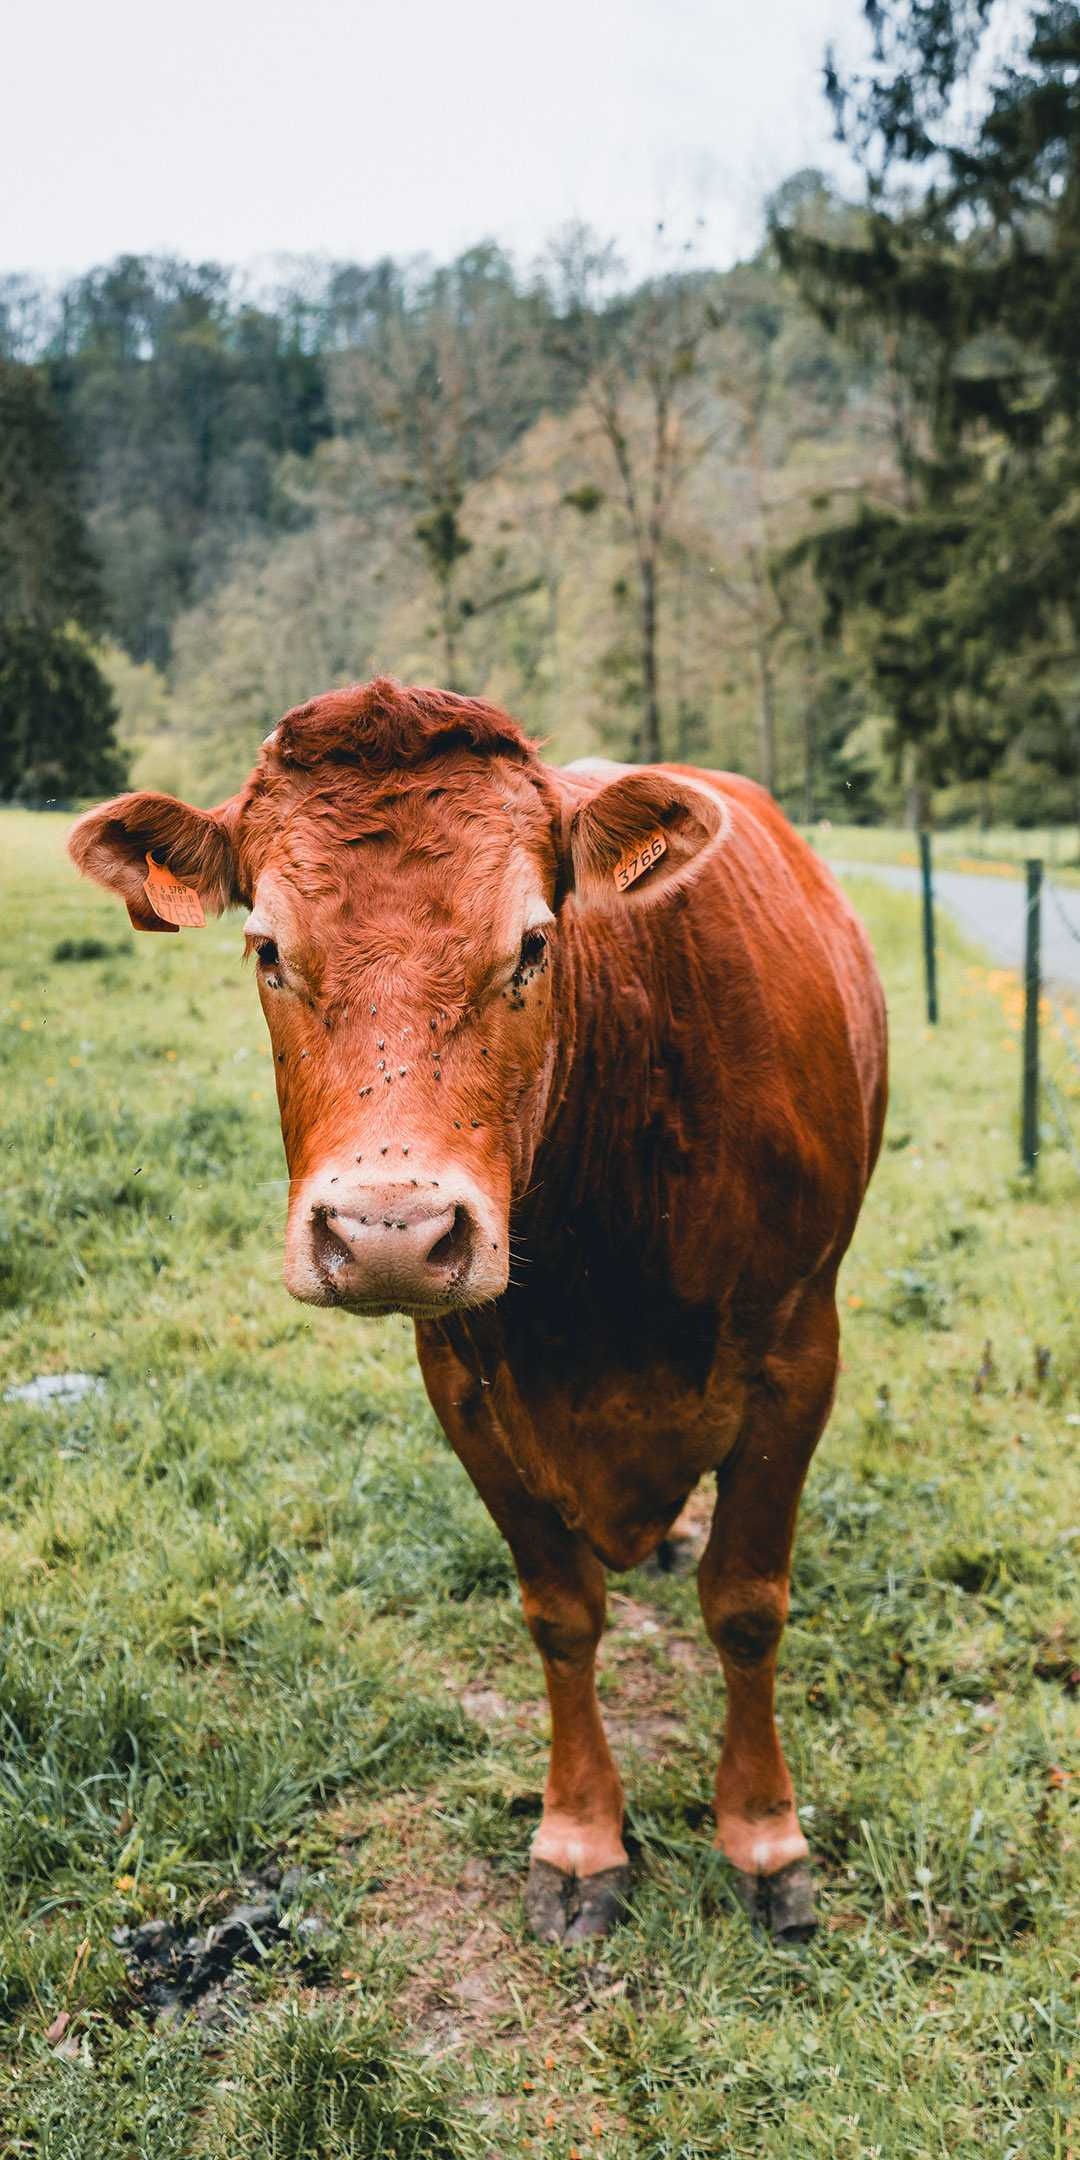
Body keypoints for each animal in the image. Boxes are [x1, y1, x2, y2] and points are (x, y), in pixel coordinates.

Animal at [73, 682, 885, 1952]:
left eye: (533, 944)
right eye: (267, 949)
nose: (388, 1231)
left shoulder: (799, 1351)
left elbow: (748, 1605)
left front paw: (764, 1838)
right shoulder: (461, 1382)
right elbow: (560, 1613)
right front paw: (581, 1839)